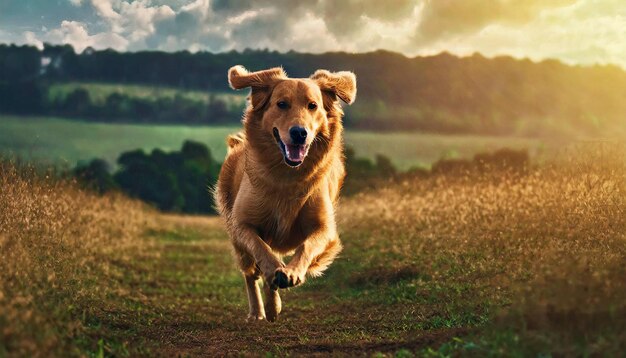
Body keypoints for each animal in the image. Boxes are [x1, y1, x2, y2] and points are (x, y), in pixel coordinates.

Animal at [212, 64, 354, 322]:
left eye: (312, 105)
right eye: (281, 104)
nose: (300, 133)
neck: (287, 177)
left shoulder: (325, 229)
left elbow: (307, 246)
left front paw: (293, 272)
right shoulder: (242, 225)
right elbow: (261, 250)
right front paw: (275, 274)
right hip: (238, 244)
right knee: (251, 273)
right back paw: (260, 310)